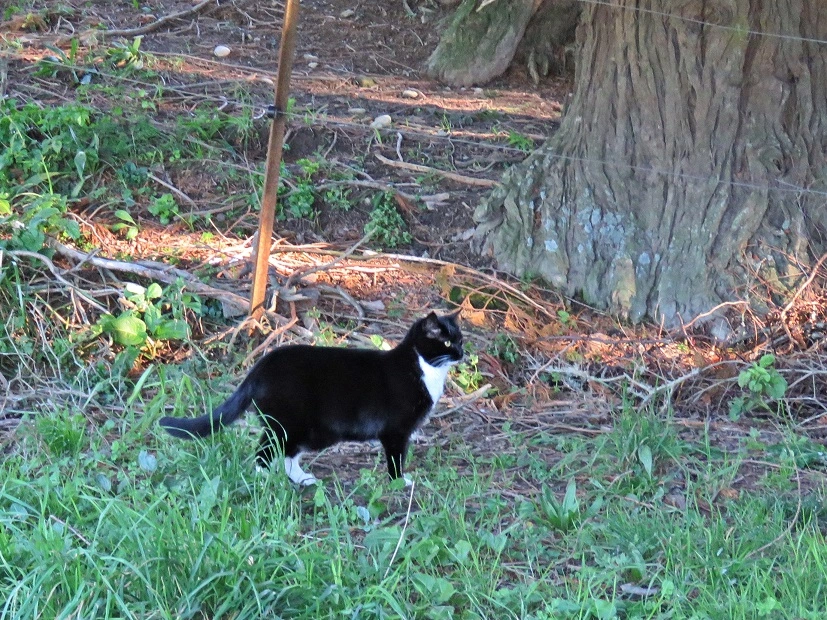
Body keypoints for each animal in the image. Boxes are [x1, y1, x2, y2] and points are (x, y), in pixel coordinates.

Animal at [158, 311, 463, 486]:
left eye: (461, 340)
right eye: (447, 343)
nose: (462, 353)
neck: (423, 367)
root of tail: (259, 367)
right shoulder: (396, 431)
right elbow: (396, 459)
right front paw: (400, 483)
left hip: (307, 430)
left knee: (288, 453)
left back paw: (302, 479)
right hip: (288, 422)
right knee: (264, 451)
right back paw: (264, 481)